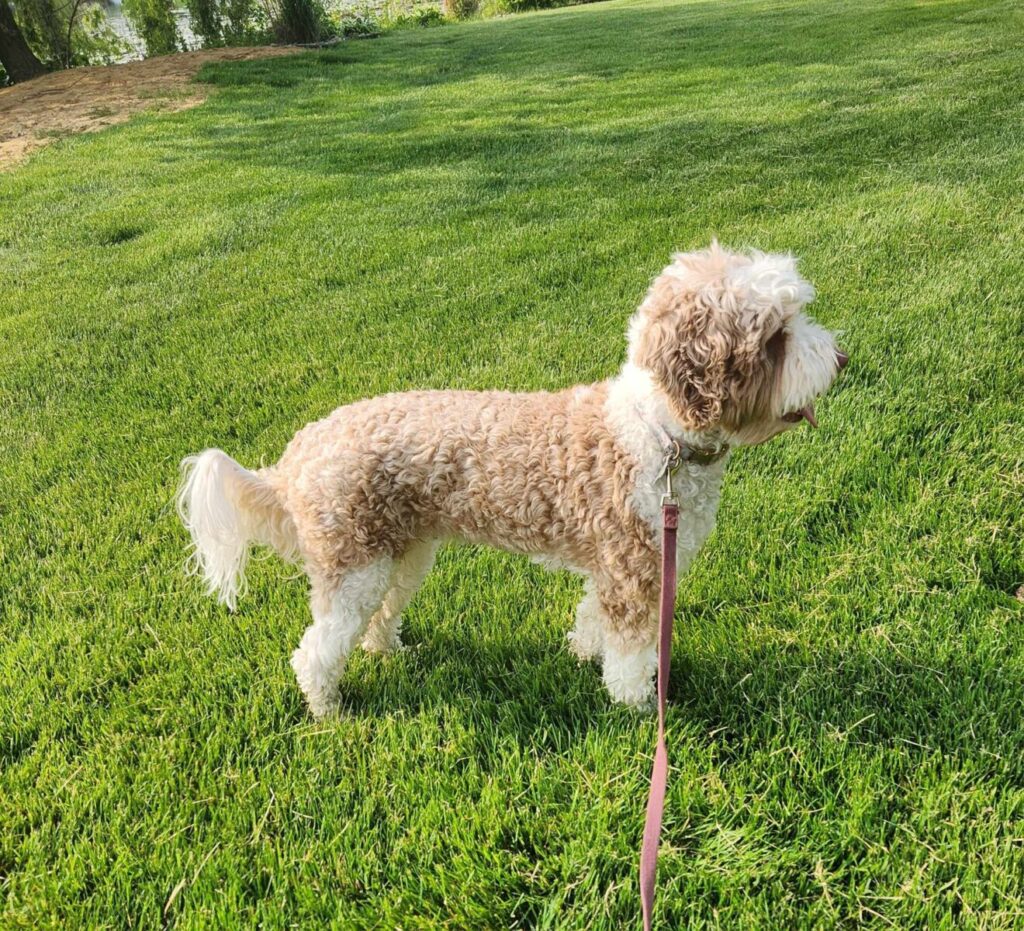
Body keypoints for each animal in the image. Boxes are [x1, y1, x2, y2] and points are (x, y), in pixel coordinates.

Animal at [178, 243, 847, 716]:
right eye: (776, 335)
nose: (841, 359)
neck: (660, 435)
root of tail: (297, 457)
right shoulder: (634, 571)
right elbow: (630, 654)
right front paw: (637, 709)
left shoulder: (615, 566)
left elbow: (592, 620)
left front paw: (582, 654)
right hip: (353, 564)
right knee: (315, 650)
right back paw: (329, 711)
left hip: (404, 553)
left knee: (377, 619)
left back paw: (390, 651)